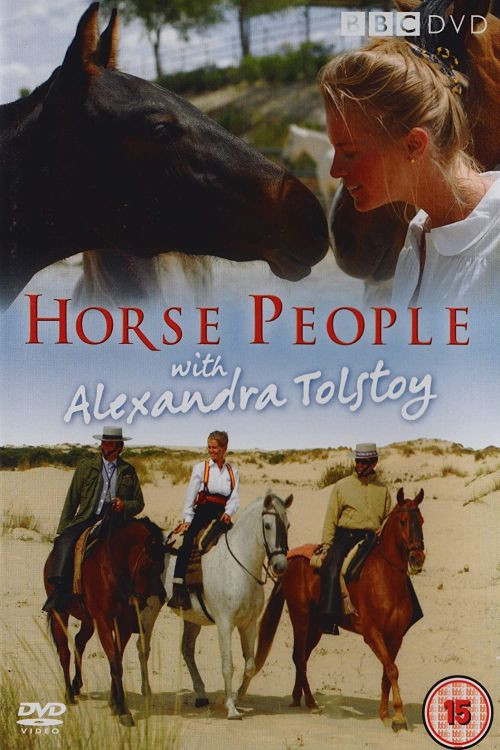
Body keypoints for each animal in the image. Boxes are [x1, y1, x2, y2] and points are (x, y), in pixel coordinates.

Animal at [43, 517, 166, 727]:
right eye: (148, 566)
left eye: (163, 566)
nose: (161, 597)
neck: (113, 569)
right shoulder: (104, 621)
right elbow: (115, 661)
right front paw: (123, 710)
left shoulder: (122, 624)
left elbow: (116, 659)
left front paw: (115, 704)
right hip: (60, 613)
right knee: (64, 652)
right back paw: (69, 694)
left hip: (88, 621)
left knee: (79, 642)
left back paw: (76, 685)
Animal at [139, 493, 292, 719]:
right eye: (267, 525)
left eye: (288, 525)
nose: (280, 566)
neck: (240, 566)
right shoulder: (225, 624)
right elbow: (228, 665)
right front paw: (231, 708)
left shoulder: (248, 625)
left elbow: (250, 665)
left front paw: (237, 698)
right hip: (149, 609)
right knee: (143, 647)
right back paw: (147, 692)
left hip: (192, 618)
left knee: (187, 650)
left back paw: (201, 694)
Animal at [255, 488, 425, 732]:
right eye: (402, 521)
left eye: (421, 520)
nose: (417, 558)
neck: (385, 577)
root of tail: (291, 560)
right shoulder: (372, 634)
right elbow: (392, 669)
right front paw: (399, 717)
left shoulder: (396, 636)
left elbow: (387, 671)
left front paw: (385, 715)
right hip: (301, 618)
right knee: (299, 657)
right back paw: (311, 703)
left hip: (316, 626)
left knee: (302, 656)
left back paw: (297, 698)